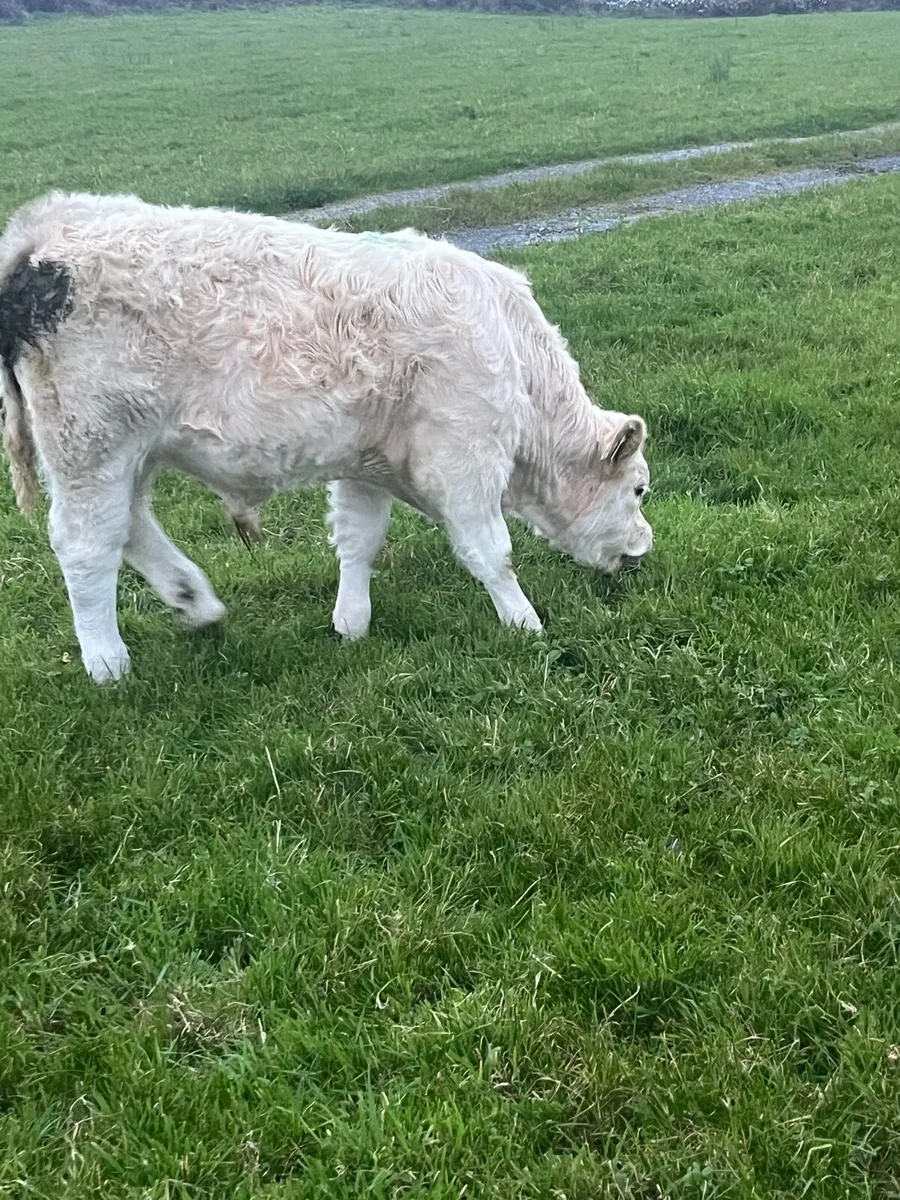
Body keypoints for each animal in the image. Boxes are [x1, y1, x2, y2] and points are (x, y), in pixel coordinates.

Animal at [0, 192, 652, 683]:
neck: (512, 349)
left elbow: (359, 539)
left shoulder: (368, 463)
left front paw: (352, 623)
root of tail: (45, 229)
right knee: (86, 545)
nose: (643, 549)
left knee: (131, 525)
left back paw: (195, 601)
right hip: (91, 447)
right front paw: (524, 623)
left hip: (131, 454)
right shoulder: (464, 455)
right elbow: (491, 551)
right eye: (640, 488)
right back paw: (108, 662)